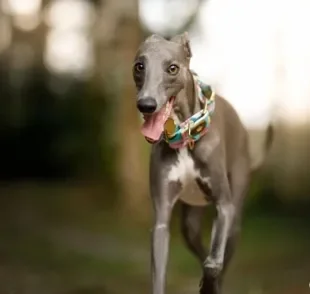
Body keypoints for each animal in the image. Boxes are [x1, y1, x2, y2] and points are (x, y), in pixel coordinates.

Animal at [132, 32, 272, 294]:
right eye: (139, 66)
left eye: (172, 68)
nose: (146, 104)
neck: (186, 135)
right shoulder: (161, 220)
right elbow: (161, 269)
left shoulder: (224, 206)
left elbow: (213, 263)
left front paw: (209, 283)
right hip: (190, 223)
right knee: (199, 245)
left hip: (235, 213)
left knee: (220, 257)